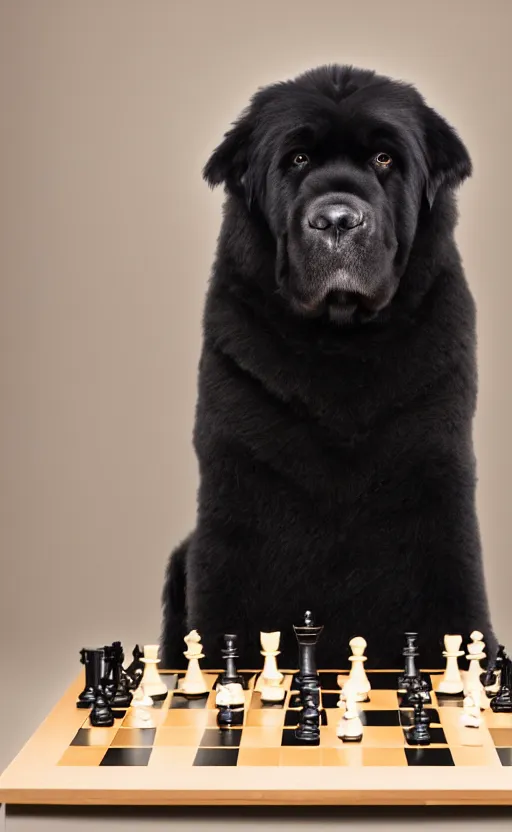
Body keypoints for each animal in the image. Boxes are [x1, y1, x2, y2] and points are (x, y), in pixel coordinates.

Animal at [161, 65, 496, 672]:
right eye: (296, 159)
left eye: (384, 159)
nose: (337, 219)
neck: (340, 342)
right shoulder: (238, 492)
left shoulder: (436, 478)